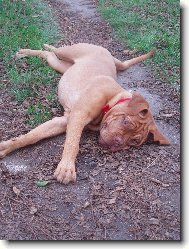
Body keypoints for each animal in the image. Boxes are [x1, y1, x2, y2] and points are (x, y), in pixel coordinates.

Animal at [0, 42, 170, 184]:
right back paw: (32, 49)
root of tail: (106, 52)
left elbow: (33, 136)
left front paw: (6, 146)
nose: (117, 143)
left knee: (48, 55)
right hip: (69, 52)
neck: (114, 98)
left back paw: (28, 52)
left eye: (134, 141)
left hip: (61, 66)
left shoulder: (64, 121)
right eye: (126, 121)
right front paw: (67, 167)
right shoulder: (78, 115)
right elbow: (72, 142)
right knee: (55, 49)